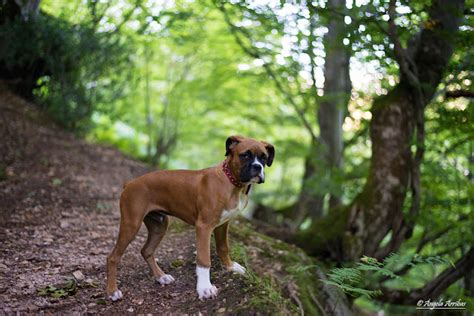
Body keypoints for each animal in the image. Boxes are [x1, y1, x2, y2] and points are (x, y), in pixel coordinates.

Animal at [105, 135, 272, 300]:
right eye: (245, 155)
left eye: (264, 158)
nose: (258, 167)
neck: (232, 183)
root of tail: (129, 184)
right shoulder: (204, 227)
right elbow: (204, 259)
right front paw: (205, 288)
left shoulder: (222, 225)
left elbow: (223, 247)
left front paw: (230, 267)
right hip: (131, 224)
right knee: (113, 257)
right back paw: (113, 291)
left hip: (159, 225)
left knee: (146, 251)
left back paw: (161, 276)